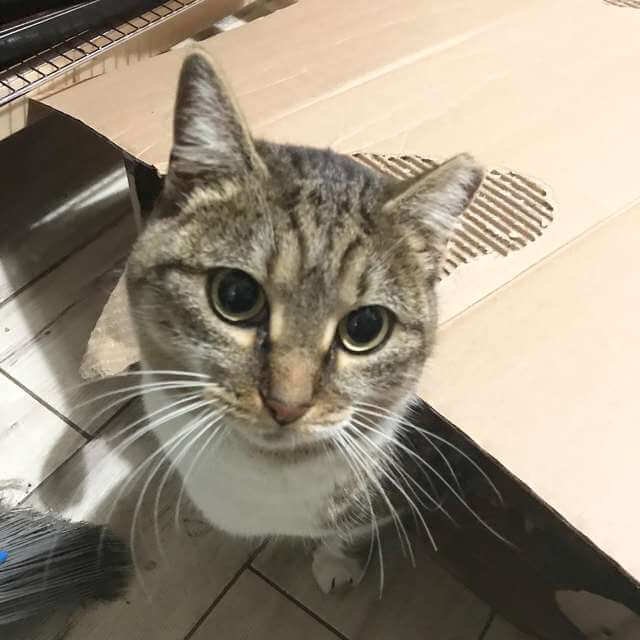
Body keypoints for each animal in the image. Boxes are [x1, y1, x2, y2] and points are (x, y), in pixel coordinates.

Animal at [125, 50, 484, 593]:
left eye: (365, 328)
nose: (286, 405)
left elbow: (351, 530)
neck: (266, 475)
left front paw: (336, 565)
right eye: (236, 296)